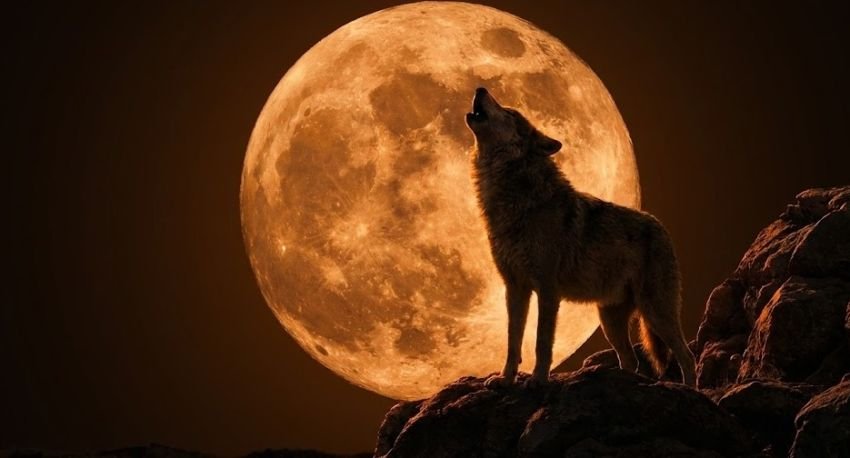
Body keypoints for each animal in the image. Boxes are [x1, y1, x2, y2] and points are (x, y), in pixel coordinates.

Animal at [465, 87, 696, 387]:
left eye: (510, 113)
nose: (480, 88)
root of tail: (660, 226)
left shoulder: (547, 290)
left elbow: (542, 342)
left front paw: (538, 380)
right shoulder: (515, 288)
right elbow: (513, 342)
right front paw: (505, 379)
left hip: (656, 312)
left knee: (686, 356)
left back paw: (693, 390)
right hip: (610, 320)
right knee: (630, 360)